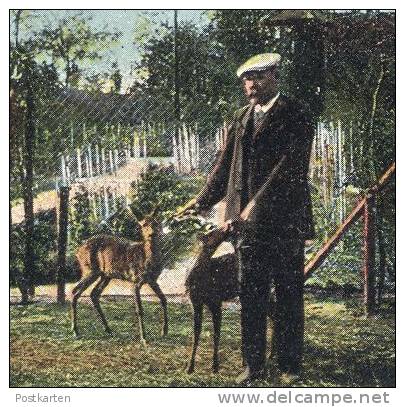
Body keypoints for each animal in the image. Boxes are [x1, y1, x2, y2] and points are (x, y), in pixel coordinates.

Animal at [70, 207, 166, 344]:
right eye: (144, 224)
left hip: (105, 275)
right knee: (75, 291)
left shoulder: (153, 280)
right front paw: (143, 338)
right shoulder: (136, 280)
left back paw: (108, 330)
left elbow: (163, 299)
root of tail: (77, 251)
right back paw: (75, 331)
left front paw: (164, 331)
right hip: (90, 269)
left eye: (156, 223)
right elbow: (139, 309)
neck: (146, 258)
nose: (151, 234)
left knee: (94, 294)